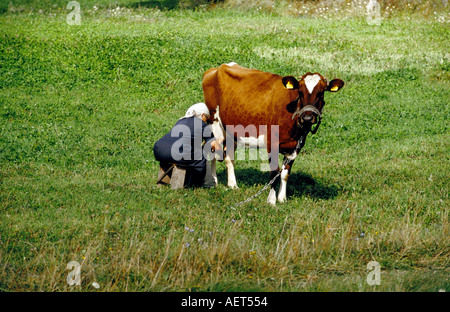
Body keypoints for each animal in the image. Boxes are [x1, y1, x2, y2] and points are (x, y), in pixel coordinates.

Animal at [201, 62, 344, 205]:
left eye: (321, 93)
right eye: (300, 92)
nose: (307, 117)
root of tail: (217, 68)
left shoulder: (296, 146)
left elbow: (285, 173)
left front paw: (282, 198)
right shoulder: (272, 143)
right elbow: (274, 172)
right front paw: (271, 200)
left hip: (231, 131)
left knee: (229, 156)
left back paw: (233, 185)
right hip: (215, 123)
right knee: (213, 151)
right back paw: (213, 181)